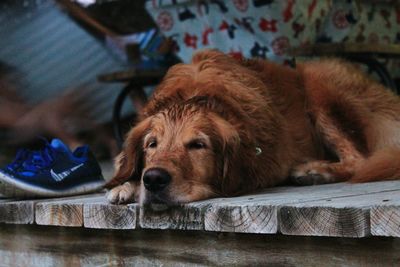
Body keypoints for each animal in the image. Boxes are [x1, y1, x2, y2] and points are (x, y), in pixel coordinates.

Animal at [105, 49, 400, 206]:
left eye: (198, 145)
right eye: (152, 144)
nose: (154, 179)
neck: (196, 94)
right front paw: (125, 186)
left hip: (318, 81)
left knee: (360, 160)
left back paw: (315, 171)